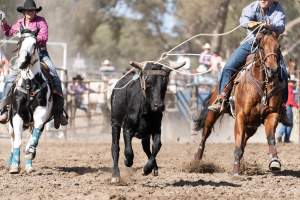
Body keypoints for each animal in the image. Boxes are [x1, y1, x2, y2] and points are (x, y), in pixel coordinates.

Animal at [7, 29, 52, 173]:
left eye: (34, 43)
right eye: (19, 43)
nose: (22, 62)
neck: (29, 84)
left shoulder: (41, 115)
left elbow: (33, 139)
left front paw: (30, 150)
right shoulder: (17, 115)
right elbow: (18, 141)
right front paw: (14, 166)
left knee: (33, 135)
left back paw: (29, 166)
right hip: (10, 124)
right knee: (13, 139)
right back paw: (12, 161)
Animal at [193, 29, 284, 175]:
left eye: (278, 47)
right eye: (261, 47)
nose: (273, 69)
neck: (262, 84)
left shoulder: (272, 114)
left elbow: (270, 138)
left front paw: (274, 161)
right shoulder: (241, 116)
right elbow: (238, 142)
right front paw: (236, 170)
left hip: (252, 125)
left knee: (244, 140)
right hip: (212, 114)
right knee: (205, 134)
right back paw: (196, 160)